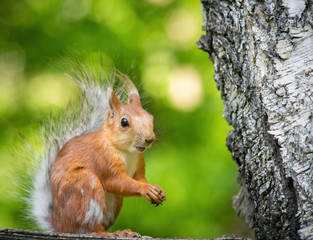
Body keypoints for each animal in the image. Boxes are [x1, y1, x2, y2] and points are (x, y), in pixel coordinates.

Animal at [27, 58, 166, 238]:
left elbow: (139, 177)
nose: (150, 139)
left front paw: (155, 189)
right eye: (124, 122)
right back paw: (110, 233)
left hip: (114, 202)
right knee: (91, 228)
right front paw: (145, 189)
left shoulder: (139, 163)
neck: (127, 151)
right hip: (85, 186)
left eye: (151, 118)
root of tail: (60, 224)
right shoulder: (104, 159)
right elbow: (116, 181)